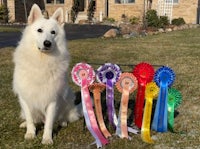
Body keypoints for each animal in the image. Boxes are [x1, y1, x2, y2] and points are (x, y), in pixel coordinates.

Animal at [12, 4, 81, 144]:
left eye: (53, 32)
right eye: (39, 30)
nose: (47, 43)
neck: (42, 61)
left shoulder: (52, 99)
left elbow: (49, 123)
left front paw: (47, 139)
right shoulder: (25, 98)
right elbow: (30, 119)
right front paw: (30, 133)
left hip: (67, 99)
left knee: (62, 117)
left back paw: (63, 122)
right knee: (34, 119)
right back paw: (25, 124)